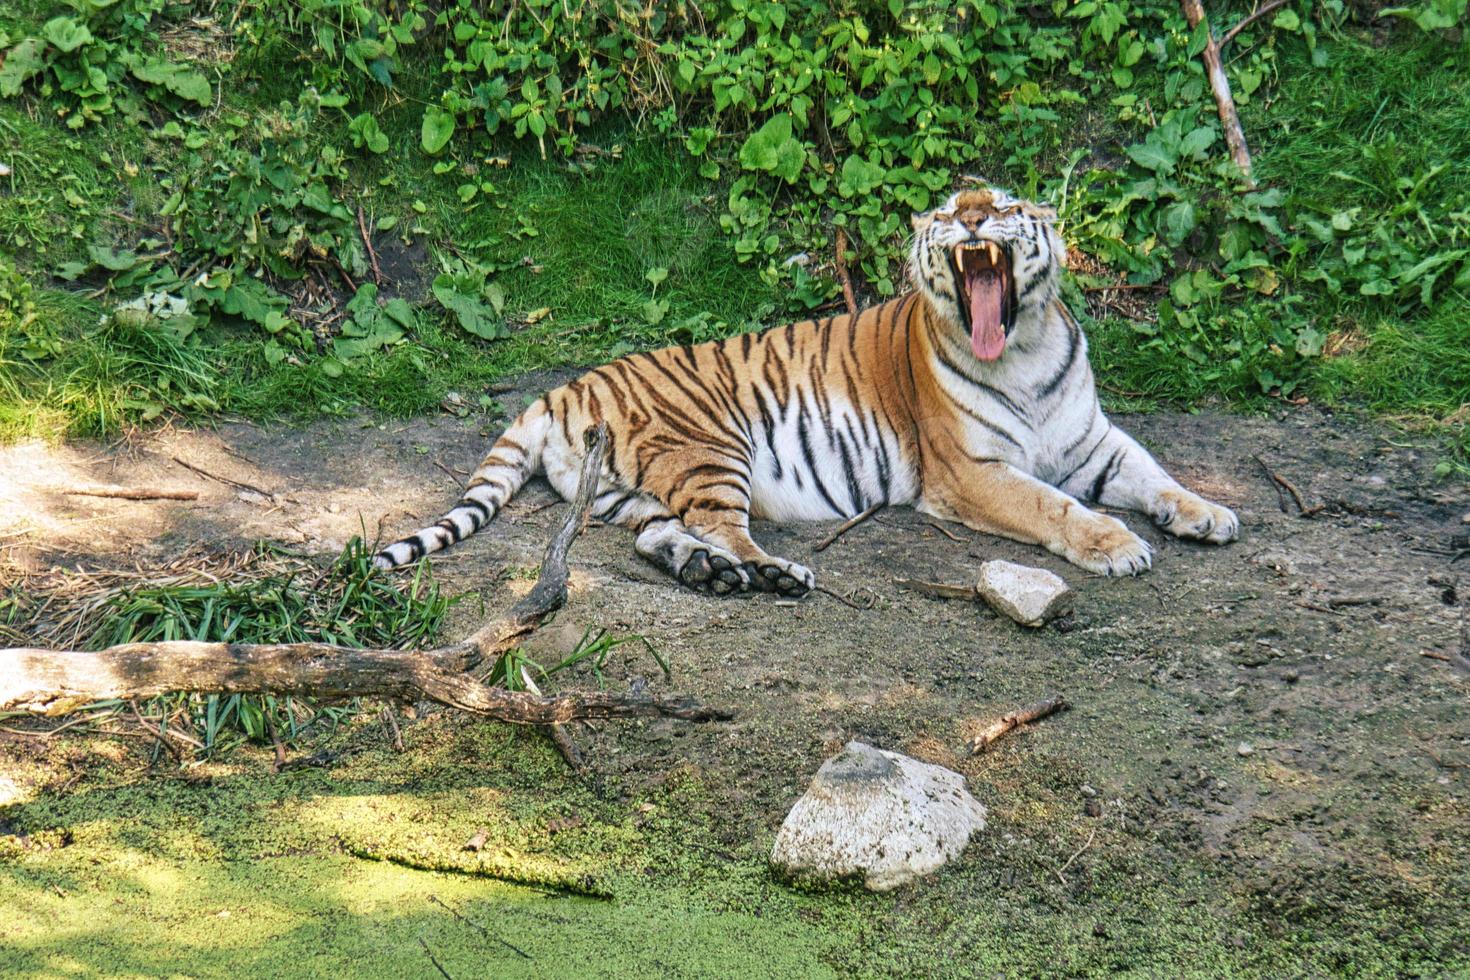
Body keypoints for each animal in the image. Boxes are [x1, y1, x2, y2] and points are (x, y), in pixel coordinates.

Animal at [373, 185, 1234, 599]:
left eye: (1004, 207)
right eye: (947, 211)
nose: (971, 219)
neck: (1023, 345)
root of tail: (562, 387)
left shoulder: (1093, 441)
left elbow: (1156, 474)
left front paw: (1209, 514)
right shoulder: (972, 473)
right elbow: (1055, 507)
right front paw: (1119, 547)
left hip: (627, 492)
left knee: (664, 538)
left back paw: (712, 575)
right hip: (708, 447)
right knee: (725, 529)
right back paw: (776, 573)